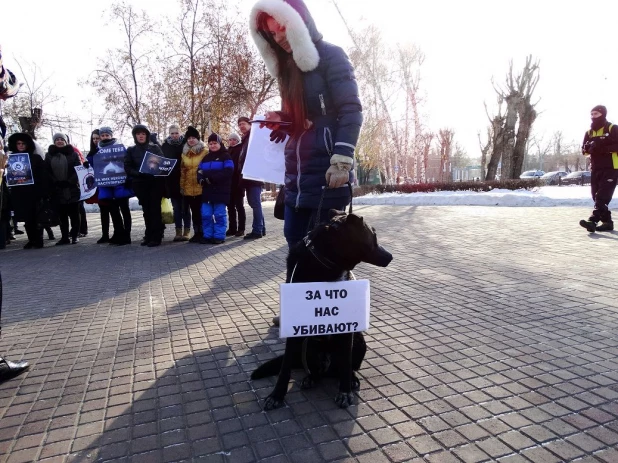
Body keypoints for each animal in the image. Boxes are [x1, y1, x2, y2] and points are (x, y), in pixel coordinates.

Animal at [249, 210, 390, 410]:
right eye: (374, 237)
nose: (391, 256)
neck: (325, 265)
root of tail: (327, 367)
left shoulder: (347, 329)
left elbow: (346, 364)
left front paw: (345, 391)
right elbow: (285, 368)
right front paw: (277, 395)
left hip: (359, 340)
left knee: (346, 368)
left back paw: (350, 379)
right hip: (305, 345)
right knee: (313, 370)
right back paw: (311, 377)